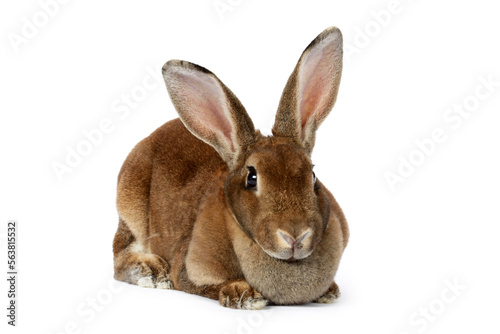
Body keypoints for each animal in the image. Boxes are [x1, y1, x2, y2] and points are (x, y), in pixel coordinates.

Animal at [112, 26, 348, 310]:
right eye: (252, 178)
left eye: (312, 176)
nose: (295, 236)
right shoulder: (190, 267)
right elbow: (205, 284)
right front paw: (244, 294)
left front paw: (329, 291)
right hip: (131, 210)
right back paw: (152, 271)